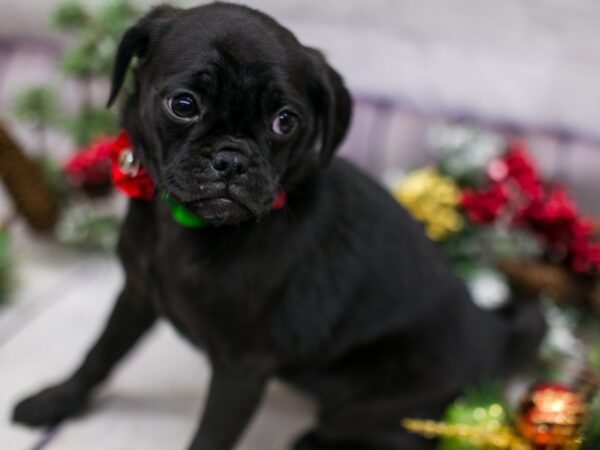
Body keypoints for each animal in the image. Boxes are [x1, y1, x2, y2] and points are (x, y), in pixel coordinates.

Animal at [11, 3, 548, 450]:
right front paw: (57, 400)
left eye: (285, 122)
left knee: (394, 435)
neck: (185, 225)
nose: (231, 160)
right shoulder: (137, 294)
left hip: (372, 399)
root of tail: (497, 337)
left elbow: (210, 436)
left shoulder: (241, 369)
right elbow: (100, 354)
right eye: (183, 104)